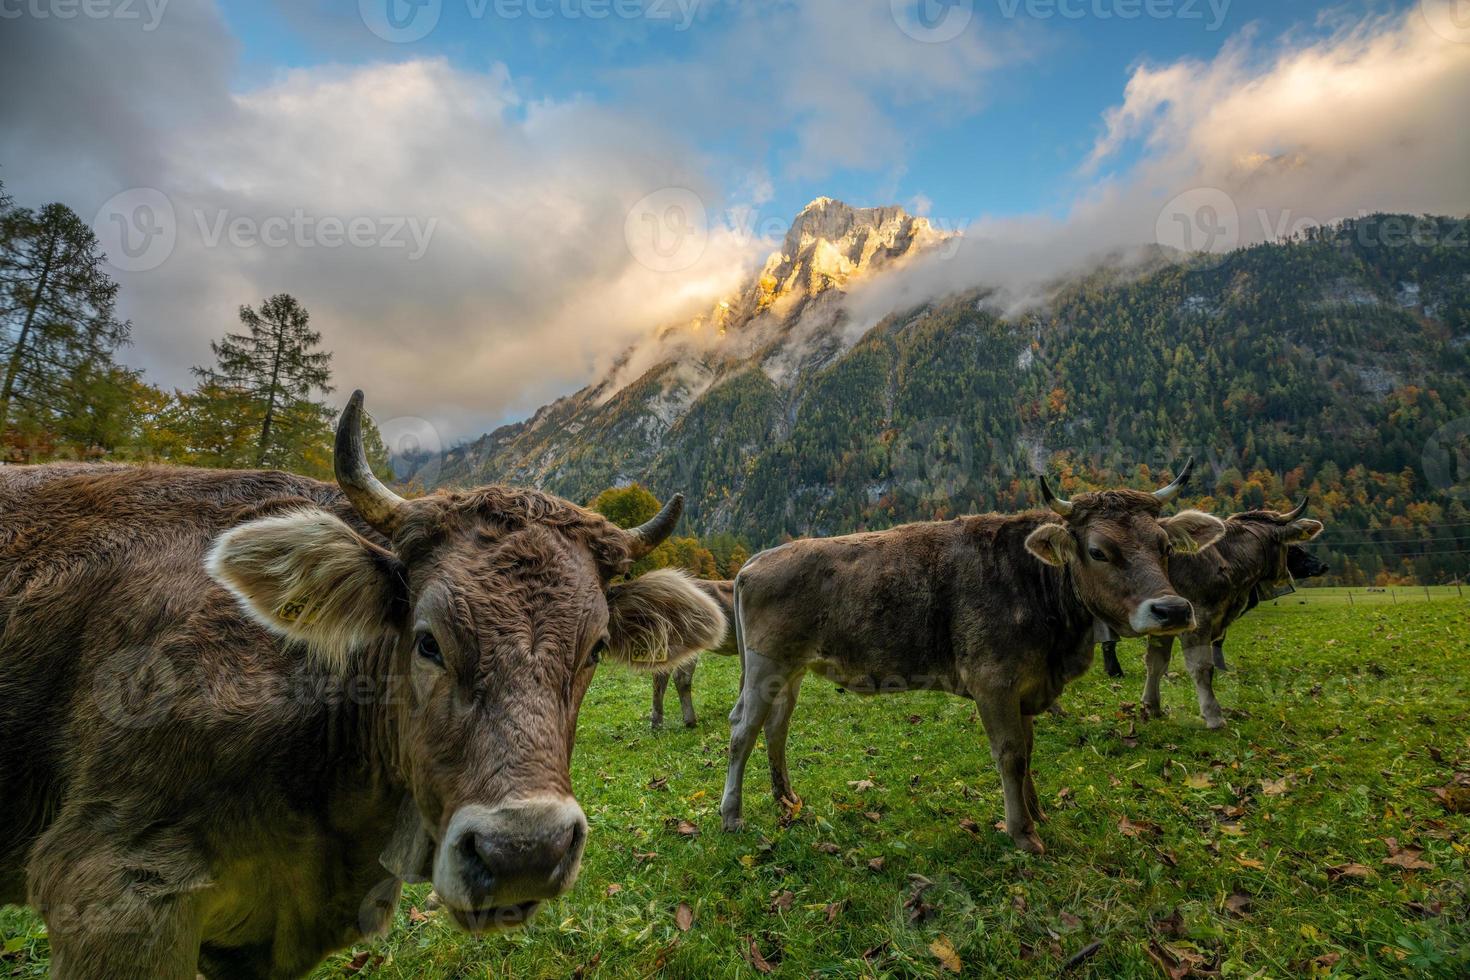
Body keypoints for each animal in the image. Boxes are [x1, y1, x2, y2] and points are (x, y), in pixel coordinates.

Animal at [717, 464, 1223, 852]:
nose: (1173, 610)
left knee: (777, 727)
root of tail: (757, 560)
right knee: (743, 730)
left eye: (1164, 546)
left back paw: (786, 798)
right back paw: (732, 816)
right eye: (1098, 551)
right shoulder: (993, 682)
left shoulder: (1027, 684)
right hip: (764, 667)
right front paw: (1023, 833)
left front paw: (1037, 810)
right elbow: (1011, 753)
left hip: (790, 672)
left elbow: (1029, 749)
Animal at [1134, 499, 1334, 728]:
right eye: (1294, 550)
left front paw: (1152, 706)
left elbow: (1156, 662)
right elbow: (1201, 666)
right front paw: (1214, 716)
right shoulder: (1198, 618)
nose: (1324, 566)